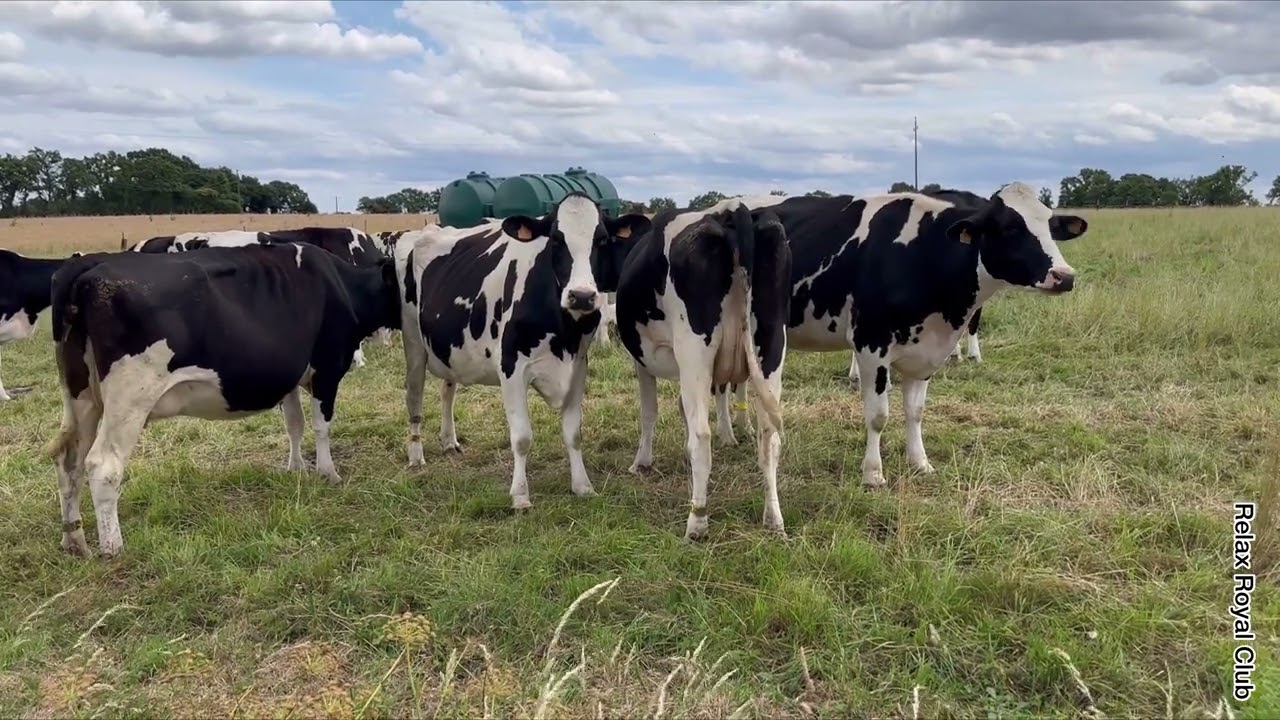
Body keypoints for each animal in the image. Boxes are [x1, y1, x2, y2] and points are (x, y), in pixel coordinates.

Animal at [44, 242, 402, 558]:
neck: (342, 286)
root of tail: (88, 264)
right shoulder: (327, 370)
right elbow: (321, 426)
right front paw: (328, 473)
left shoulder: (288, 376)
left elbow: (295, 425)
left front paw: (296, 468)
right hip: (129, 398)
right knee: (103, 465)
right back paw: (112, 548)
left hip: (81, 397)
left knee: (68, 459)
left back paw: (73, 540)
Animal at [397, 192, 651, 511]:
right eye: (556, 239)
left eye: (602, 240)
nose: (581, 296)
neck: (562, 331)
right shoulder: (512, 369)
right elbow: (522, 437)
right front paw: (520, 495)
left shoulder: (578, 366)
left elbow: (573, 433)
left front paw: (582, 485)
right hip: (413, 343)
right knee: (414, 397)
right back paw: (415, 455)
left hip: (450, 348)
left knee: (447, 391)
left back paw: (449, 441)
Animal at [614, 199, 792, 539]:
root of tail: (730, 209)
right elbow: (685, 407)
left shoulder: (642, 360)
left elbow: (650, 411)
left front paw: (641, 462)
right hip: (771, 345)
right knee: (769, 438)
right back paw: (774, 519)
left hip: (694, 351)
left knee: (702, 435)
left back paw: (697, 522)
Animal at [698, 182, 1087, 488]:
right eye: (1008, 229)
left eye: (1050, 226)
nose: (1064, 276)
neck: (924, 254)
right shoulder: (872, 345)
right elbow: (878, 415)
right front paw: (873, 473)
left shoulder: (927, 350)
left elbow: (915, 412)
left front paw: (921, 463)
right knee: (720, 385)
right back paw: (728, 435)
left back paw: (743, 429)